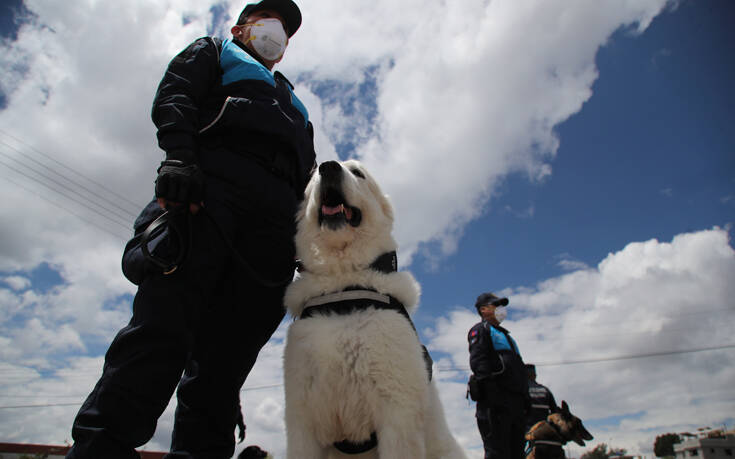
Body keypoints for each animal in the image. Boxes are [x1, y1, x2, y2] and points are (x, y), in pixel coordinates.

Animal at [282, 159, 466, 459]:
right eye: (312, 178)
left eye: (358, 173)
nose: (328, 167)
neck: (344, 285)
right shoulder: (302, 419)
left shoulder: (397, 413)